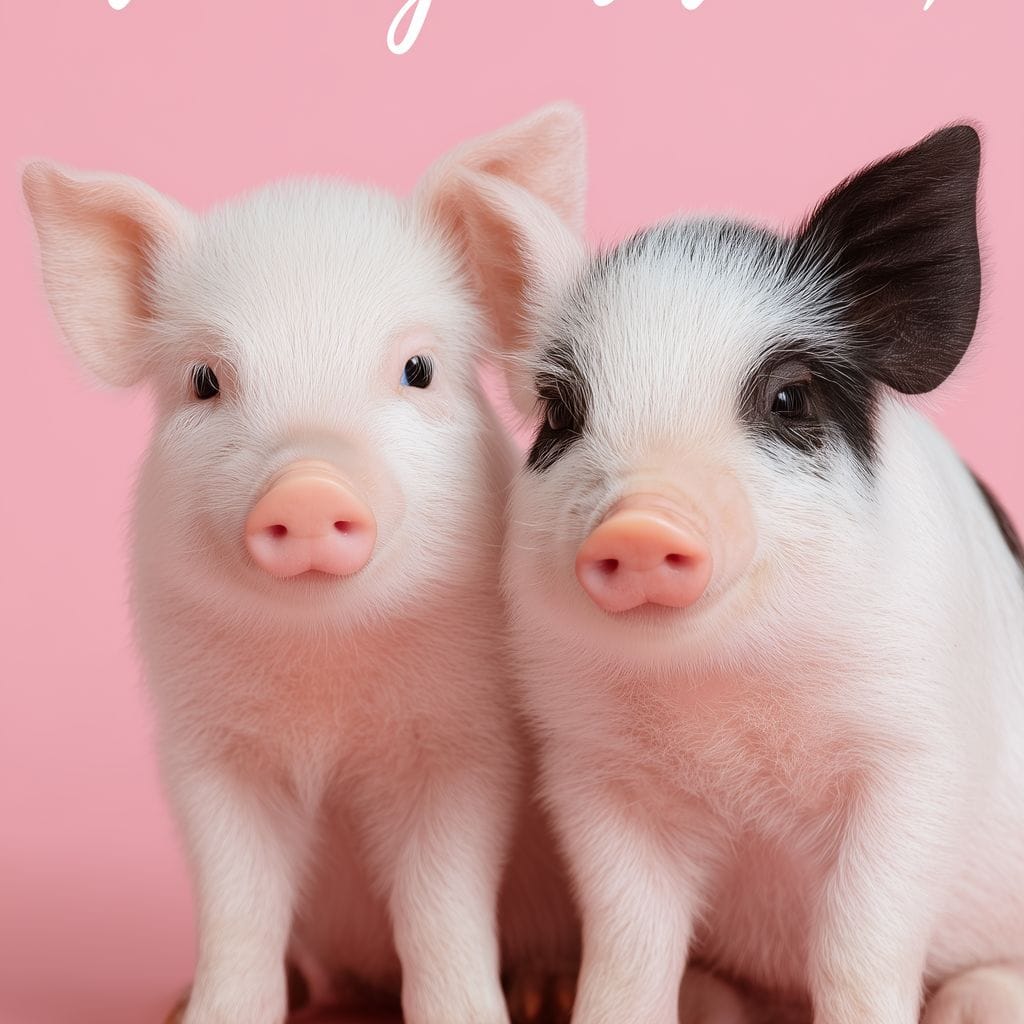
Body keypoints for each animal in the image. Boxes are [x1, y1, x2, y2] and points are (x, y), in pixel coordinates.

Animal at [22, 105, 595, 1024]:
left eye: (418, 368)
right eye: (205, 379)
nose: (308, 483)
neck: (323, 671)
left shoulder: (462, 745)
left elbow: (440, 907)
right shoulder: (205, 749)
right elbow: (240, 906)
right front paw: (208, 1014)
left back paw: (548, 991)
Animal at [446, 124, 1024, 1024]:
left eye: (789, 400)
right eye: (562, 415)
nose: (643, 520)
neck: (727, 702)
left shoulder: (918, 752)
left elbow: (859, 945)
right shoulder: (594, 769)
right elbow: (627, 952)